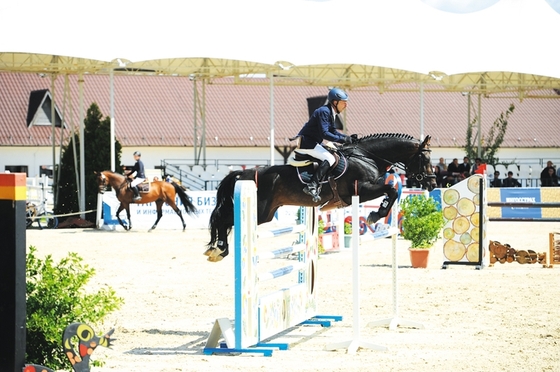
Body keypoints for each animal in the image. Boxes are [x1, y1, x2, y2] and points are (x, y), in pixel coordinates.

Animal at [206, 133, 438, 262]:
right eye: (425, 159)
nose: (433, 184)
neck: (367, 157)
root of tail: (243, 173)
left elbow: (393, 188)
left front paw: (377, 213)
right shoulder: (360, 190)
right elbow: (391, 189)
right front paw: (375, 215)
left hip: (267, 213)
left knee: (224, 220)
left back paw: (217, 250)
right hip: (259, 211)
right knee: (223, 220)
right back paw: (219, 249)